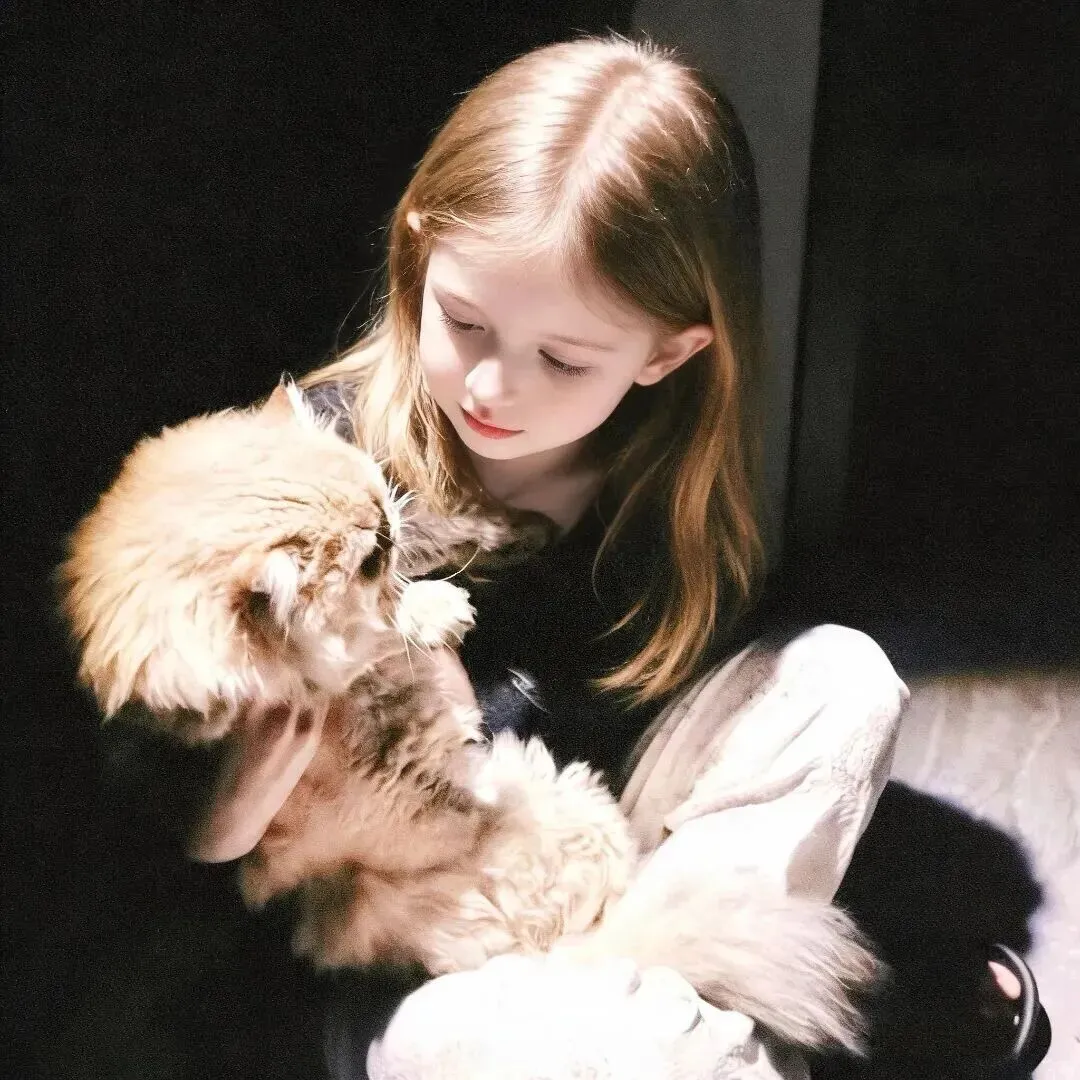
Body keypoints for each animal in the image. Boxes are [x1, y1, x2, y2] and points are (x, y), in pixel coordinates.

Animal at [59, 380, 880, 1052]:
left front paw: (470, 557)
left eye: (380, 509)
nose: (387, 536)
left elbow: (446, 534)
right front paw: (433, 613)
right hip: (570, 802)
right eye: (364, 560)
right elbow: (383, 635)